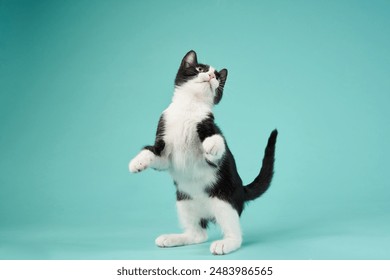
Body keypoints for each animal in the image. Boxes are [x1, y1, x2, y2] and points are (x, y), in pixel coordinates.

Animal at [129, 49, 278, 254]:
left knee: (235, 234)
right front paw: (137, 162)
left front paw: (212, 145)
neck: (189, 108)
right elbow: (155, 154)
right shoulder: (164, 146)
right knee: (198, 234)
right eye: (200, 69)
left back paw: (225, 244)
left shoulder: (208, 129)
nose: (210, 76)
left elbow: (216, 142)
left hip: (224, 202)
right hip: (184, 202)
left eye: (218, 77)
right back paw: (172, 238)